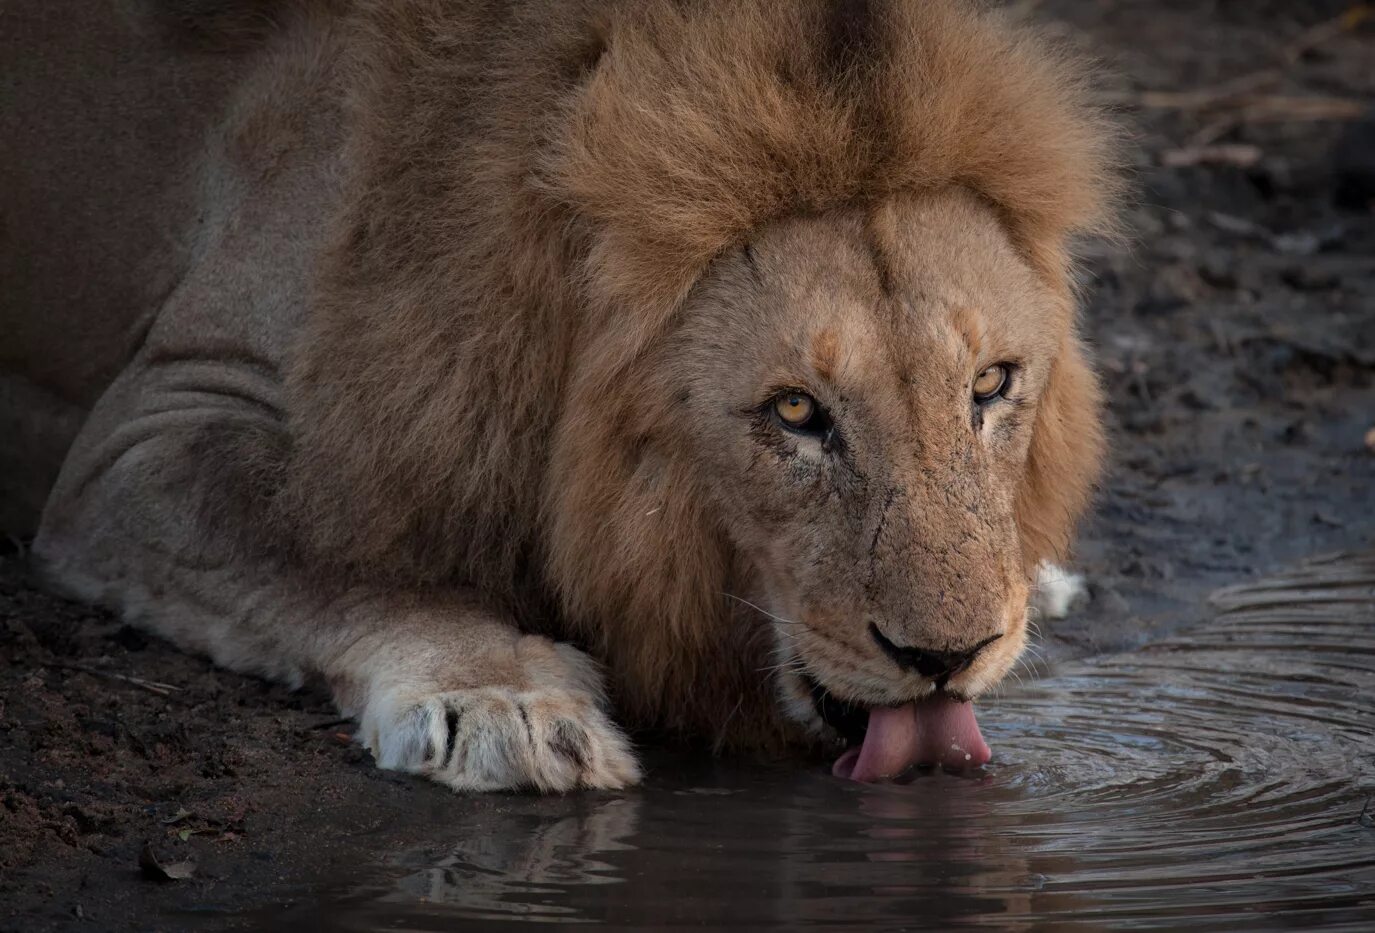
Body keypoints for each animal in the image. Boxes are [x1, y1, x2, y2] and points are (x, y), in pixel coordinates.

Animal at [0, 0, 1116, 791]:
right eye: (796, 412)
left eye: (989, 385)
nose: (949, 656)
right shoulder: (156, 424)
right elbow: (329, 556)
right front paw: (504, 700)